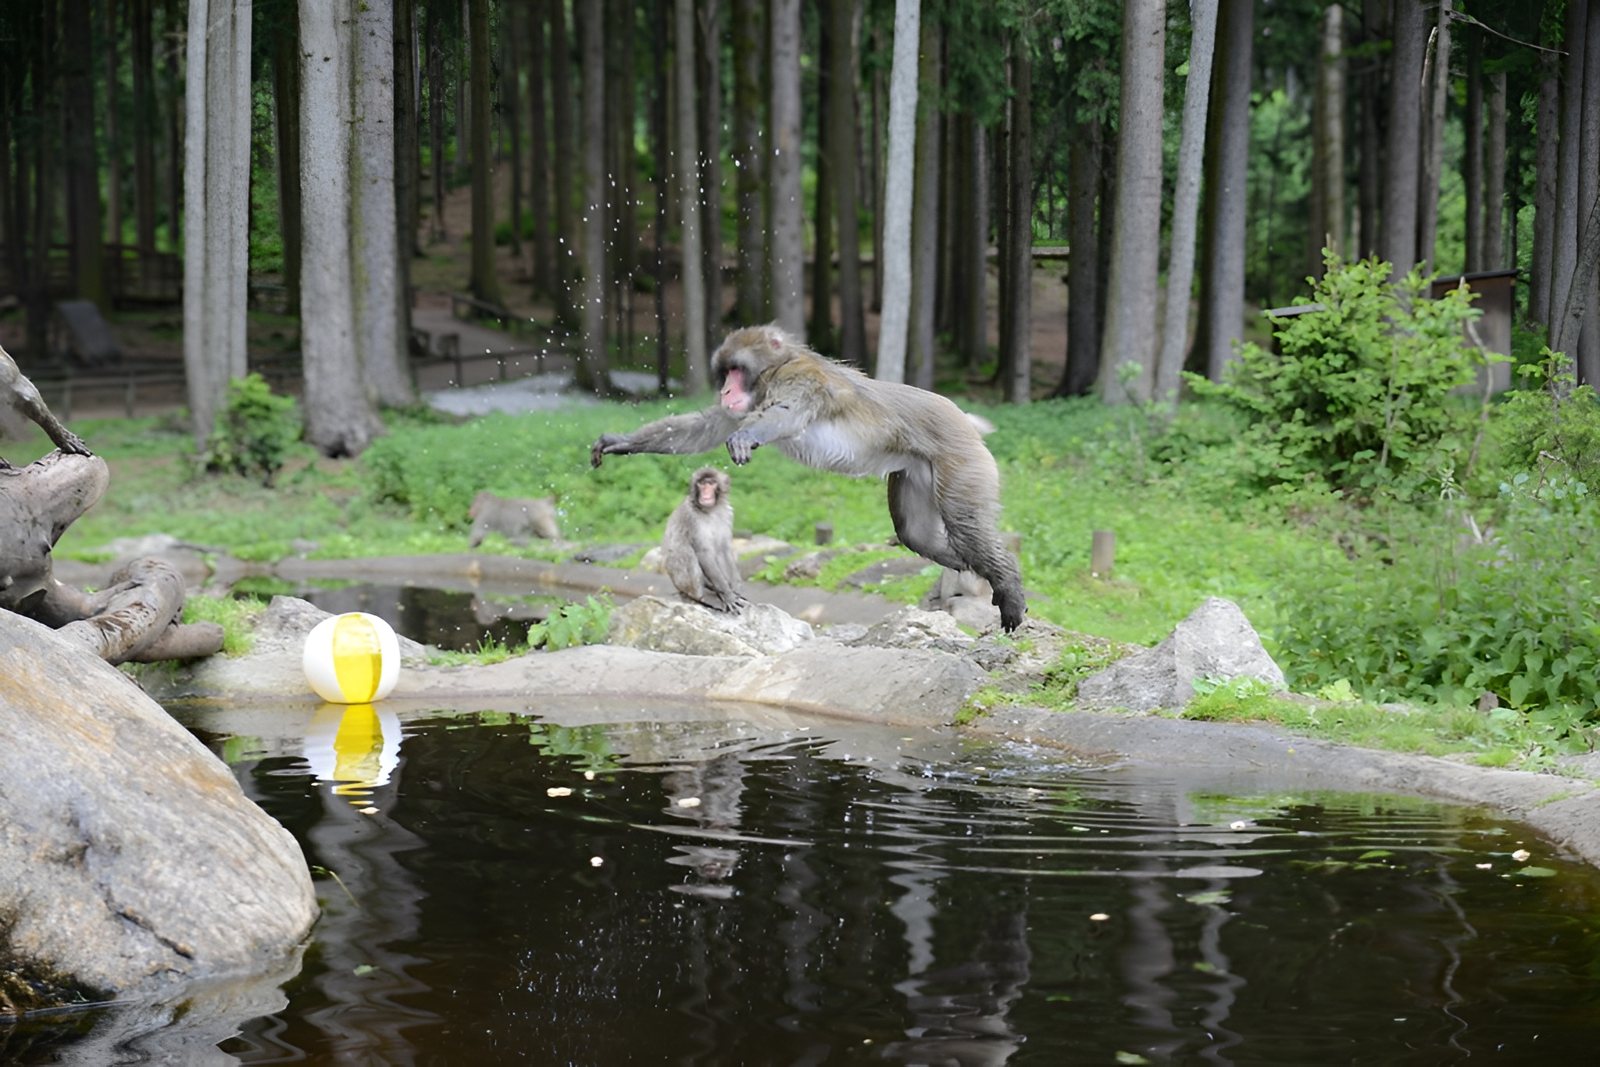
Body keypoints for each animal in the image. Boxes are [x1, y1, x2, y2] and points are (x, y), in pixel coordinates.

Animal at [661, 466, 749, 614]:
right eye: (701, 484)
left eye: (711, 483)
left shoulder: (728, 513)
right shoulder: (691, 517)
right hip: (679, 580)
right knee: (685, 552)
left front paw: (736, 588)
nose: (705, 493)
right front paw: (728, 595)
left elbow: (725, 549)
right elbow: (703, 553)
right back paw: (703, 597)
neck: (711, 510)